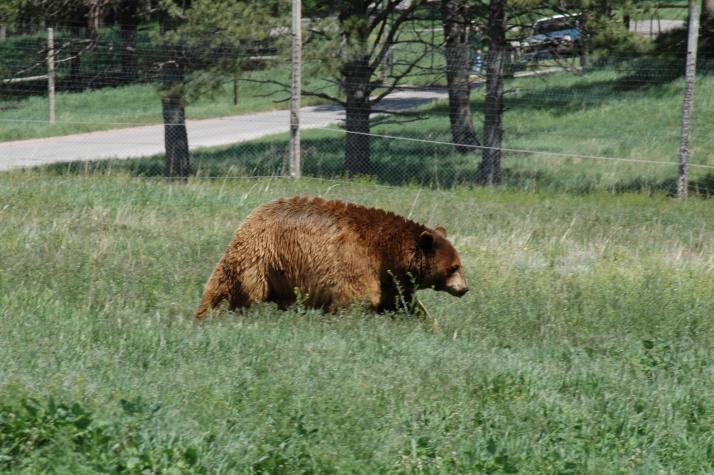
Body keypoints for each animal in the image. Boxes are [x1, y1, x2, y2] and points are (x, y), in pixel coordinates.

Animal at [195, 197, 468, 320]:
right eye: (454, 267)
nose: (465, 288)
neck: (388, 254)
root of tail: (251, 216)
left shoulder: (392, 281)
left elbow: (407, 305)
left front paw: (431, 326)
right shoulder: (358, 261)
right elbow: (357, 297)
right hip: (259, 258)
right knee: (236, 289)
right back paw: (210, 313)